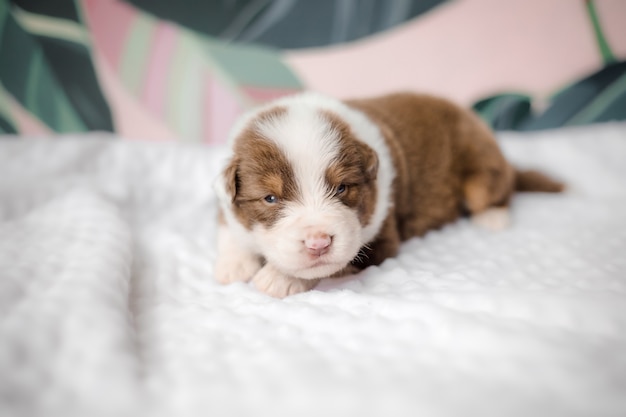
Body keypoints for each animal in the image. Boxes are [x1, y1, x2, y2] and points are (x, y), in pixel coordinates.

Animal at [213, 92, 560, 298]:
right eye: (270, 198)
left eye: (342, 188)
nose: (318, 243)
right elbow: (227, 223)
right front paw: (234, 264)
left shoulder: (381, 239)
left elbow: (337, 263)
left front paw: (279, 278)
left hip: (481, 168)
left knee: (499, 188)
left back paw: (493, 216)